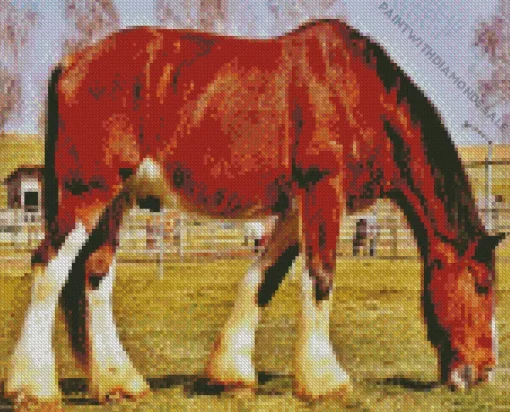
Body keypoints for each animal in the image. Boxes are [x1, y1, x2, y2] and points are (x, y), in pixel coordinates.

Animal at [3, 20, 506, 406]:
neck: (356, 90)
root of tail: (72, 63)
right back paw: (32, 388)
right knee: (48, 267)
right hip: (87, 194)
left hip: (114, 201)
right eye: (482, 285)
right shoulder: (323, 190)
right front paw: (325, 382)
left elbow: (264, 278)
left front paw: (230, 374)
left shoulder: (294, 207)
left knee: (95, 275)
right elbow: (319, 277)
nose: (483, 371)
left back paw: (119, 383)